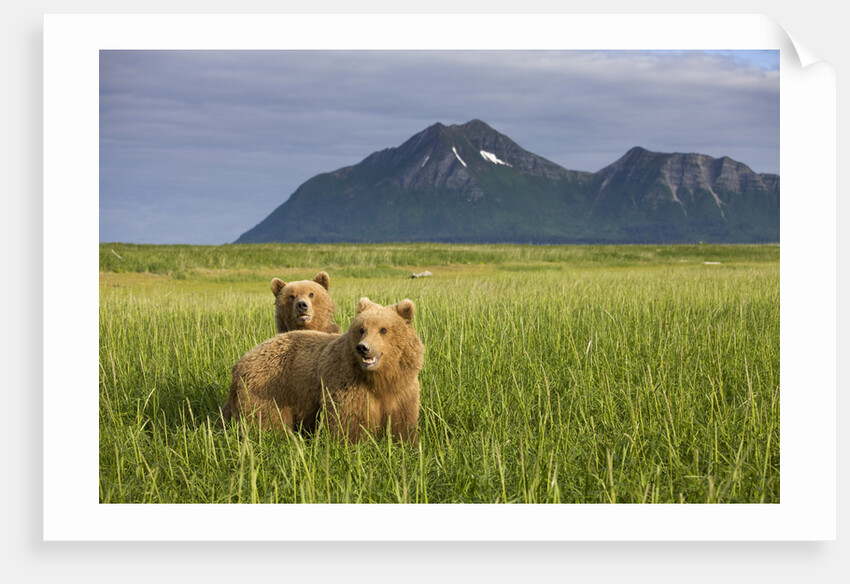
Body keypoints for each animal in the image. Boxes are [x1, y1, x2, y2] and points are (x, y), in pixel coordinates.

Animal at [223, 298, 424, 444]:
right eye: (361, 329)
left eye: (383, 330)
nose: (363, 348)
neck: (380, 379)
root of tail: (241, 362)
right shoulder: (348, 386)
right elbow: (351, 423)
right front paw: (355, 446)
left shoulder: (402, 390)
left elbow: (402, 422)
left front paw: (406, 445)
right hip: (270, 390)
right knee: (267, 420)